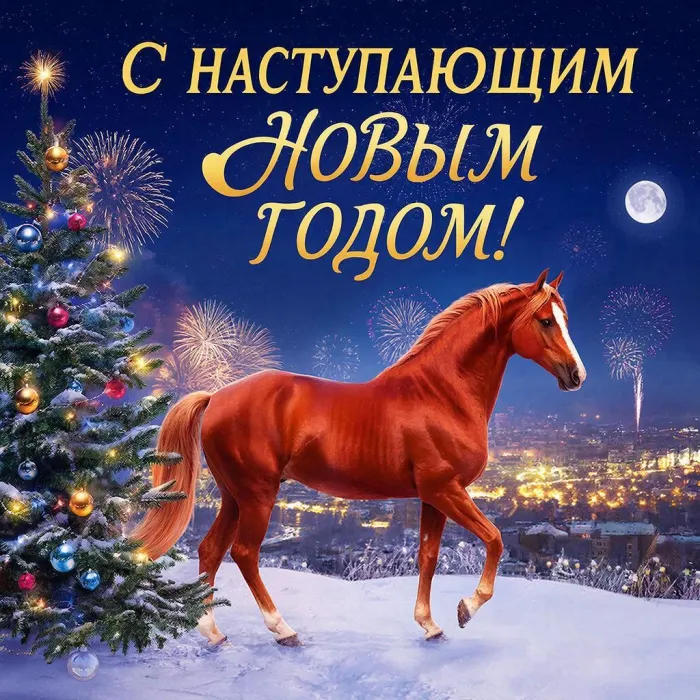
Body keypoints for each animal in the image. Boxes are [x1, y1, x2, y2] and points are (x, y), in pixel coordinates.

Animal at [132, 269, 586, 647]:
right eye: (545, 320)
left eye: (565, 318)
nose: (576, 375)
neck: (440, 394)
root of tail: (216, 396)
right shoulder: (446, 489)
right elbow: (494, 538)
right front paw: (466, 609)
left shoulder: (432, 497)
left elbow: (428, 555)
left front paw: (429, 624)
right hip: (257, 495)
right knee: (244, 553)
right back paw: (283, 629)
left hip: (233, 496)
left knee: (210, 550)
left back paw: (212, 632)